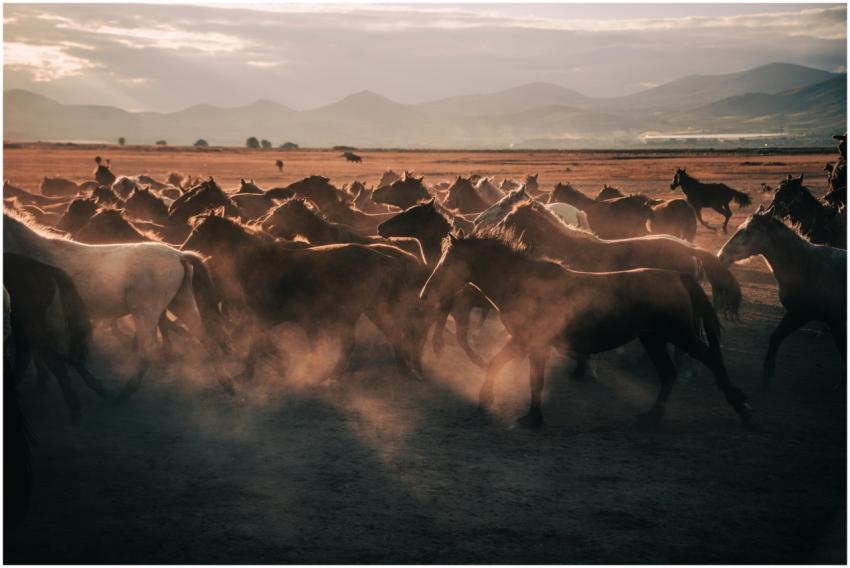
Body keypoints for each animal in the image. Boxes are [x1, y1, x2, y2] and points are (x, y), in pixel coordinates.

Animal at [4, 213, 231, 400]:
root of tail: (179, 255)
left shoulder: (49, 319)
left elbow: (59, 356)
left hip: (146, 313)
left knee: (146, 351)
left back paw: (125, 392)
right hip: (181, 304)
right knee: (207, 339)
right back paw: (227, 384)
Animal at [182, 213, 430, 381]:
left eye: (198, 232)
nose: (184, 249)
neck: (260, 262)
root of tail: (384, 257)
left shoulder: (264, 317)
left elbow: (259, 345)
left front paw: (268, 368)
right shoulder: (271, 318)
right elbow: (260, 345)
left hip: (354, 312)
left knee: (351, 343)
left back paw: (328, 377)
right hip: (374, 308)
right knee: (392, 333)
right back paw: (405, 369)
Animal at [420, 230, 752, 430]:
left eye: (447, 263)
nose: (425, 295)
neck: (522, 283)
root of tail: (679, 277)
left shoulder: (533, 342)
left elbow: (531, 379)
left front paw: (530, 417)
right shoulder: (525, 342)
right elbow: (499, 365)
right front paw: (488, 403)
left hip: (678, 334)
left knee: (709, 359)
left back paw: (740, 406)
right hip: (652, 338)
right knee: (668, 373)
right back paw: (651, 417)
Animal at [719, 208, 846, 389]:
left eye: (748, 231)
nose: (721, 256)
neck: (806, 267)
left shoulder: (823, 320)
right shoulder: (796, 314)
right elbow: (775, 337)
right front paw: (767, 375)